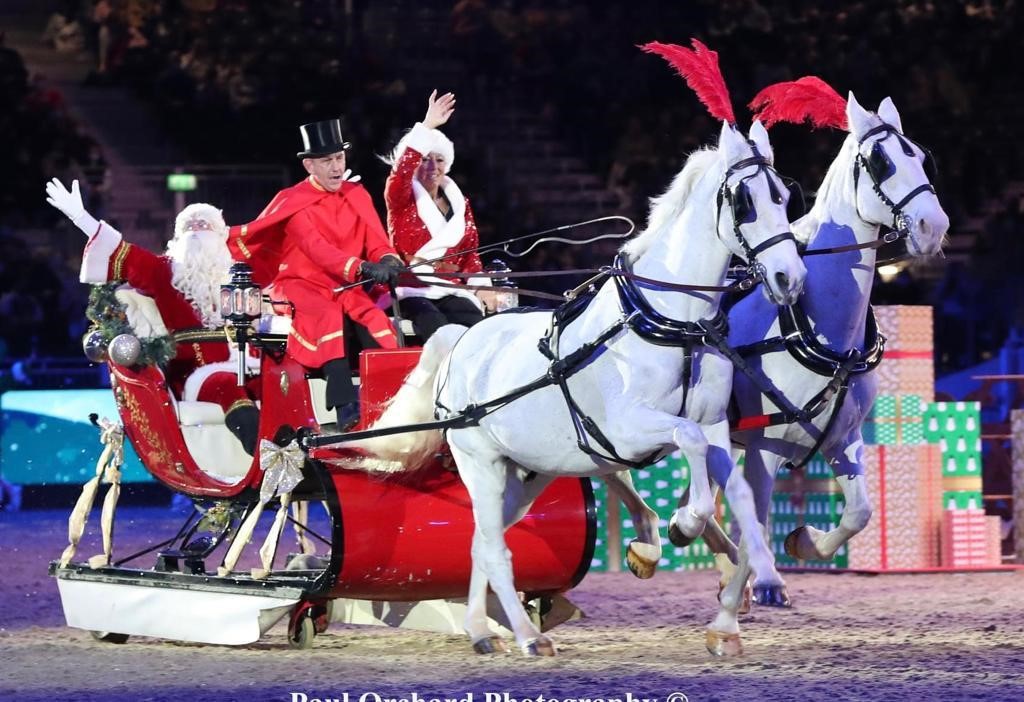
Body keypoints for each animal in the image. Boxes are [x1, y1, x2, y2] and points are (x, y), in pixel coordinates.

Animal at [356, 118, 802, 659]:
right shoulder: (631, 428)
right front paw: (682, 526)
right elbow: (688, 443)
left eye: (785, 196)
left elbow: (731, 483)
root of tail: (462, 340)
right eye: (744, 202)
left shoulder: (714, 423)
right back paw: (527, 637)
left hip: (525, 472)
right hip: (479, 462)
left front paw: (731, 583)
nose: (790, 277)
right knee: (493, 546)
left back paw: (482, 630)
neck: (667, 324)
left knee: (481, 540)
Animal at [634, 83, 946, 609]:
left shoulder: (844, 439)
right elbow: (758, 515)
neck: (816, 330)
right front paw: (766, 584)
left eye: (922, 158)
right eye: (880, 161)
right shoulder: (766, 447)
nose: (933, 226)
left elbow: (859, 512)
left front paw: (804, 542)